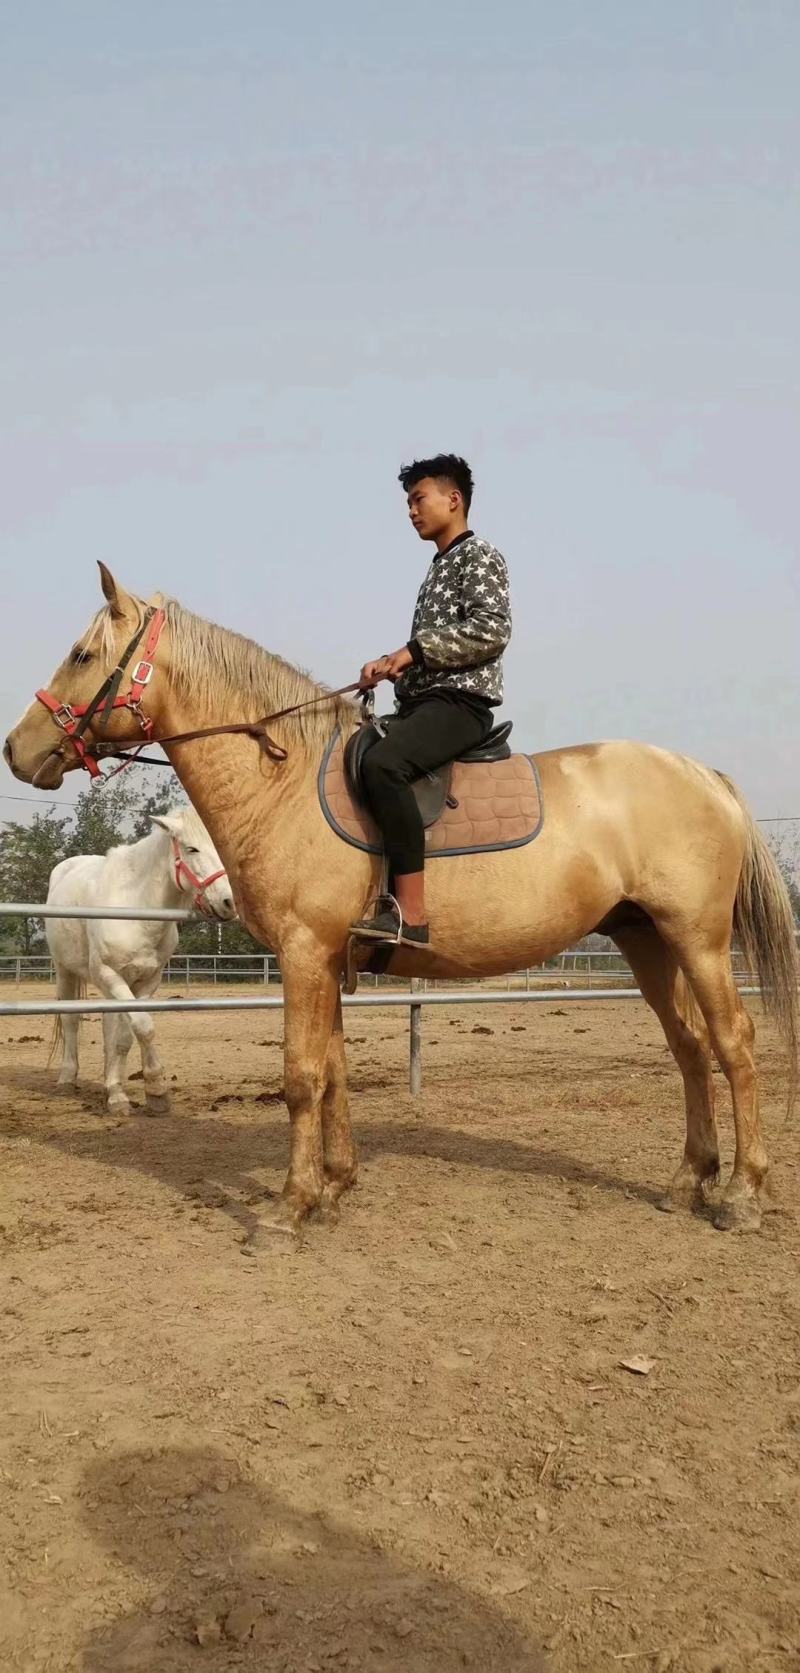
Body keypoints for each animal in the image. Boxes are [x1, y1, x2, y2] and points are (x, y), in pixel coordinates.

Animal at [46, 805, 234, 1115]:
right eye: (191, 848)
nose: (229, 903)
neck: (136, 909)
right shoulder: (109, 974)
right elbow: (143, 1027)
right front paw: (152, 1089)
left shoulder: (147, 981)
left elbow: (128, 1035)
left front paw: (129, 1093)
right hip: (65, 971)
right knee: (71, 1021)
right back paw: (66, 1079)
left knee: (109, 1026)